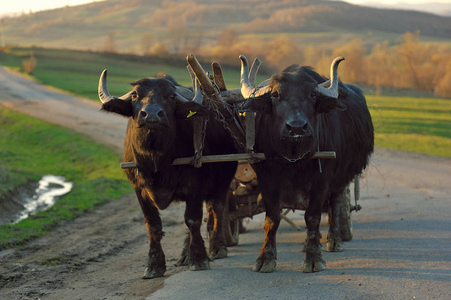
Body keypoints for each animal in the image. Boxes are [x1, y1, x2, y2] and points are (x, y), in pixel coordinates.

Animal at [97, 70, 238, 278]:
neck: (157, 159)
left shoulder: (195, 186)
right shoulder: (139, 188)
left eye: (171, 96)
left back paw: (217, 248)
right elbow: (153, 225)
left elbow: (193, 220)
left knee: (217, 209)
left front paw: (199, 259)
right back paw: (185, 255)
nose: (152, 115)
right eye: (135, 95)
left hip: (224, 178)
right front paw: (154, 265)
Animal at [240, 55, 374, 274]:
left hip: (341, 179)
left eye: (312, 94)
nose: (296, 127)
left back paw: (333, 241)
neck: (294, 157)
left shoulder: (323, 179)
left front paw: (313, 258)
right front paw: (265, 258)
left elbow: (313, 216)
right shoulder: (266, 178)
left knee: (335, 205)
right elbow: (272, 218)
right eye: (275, 95)